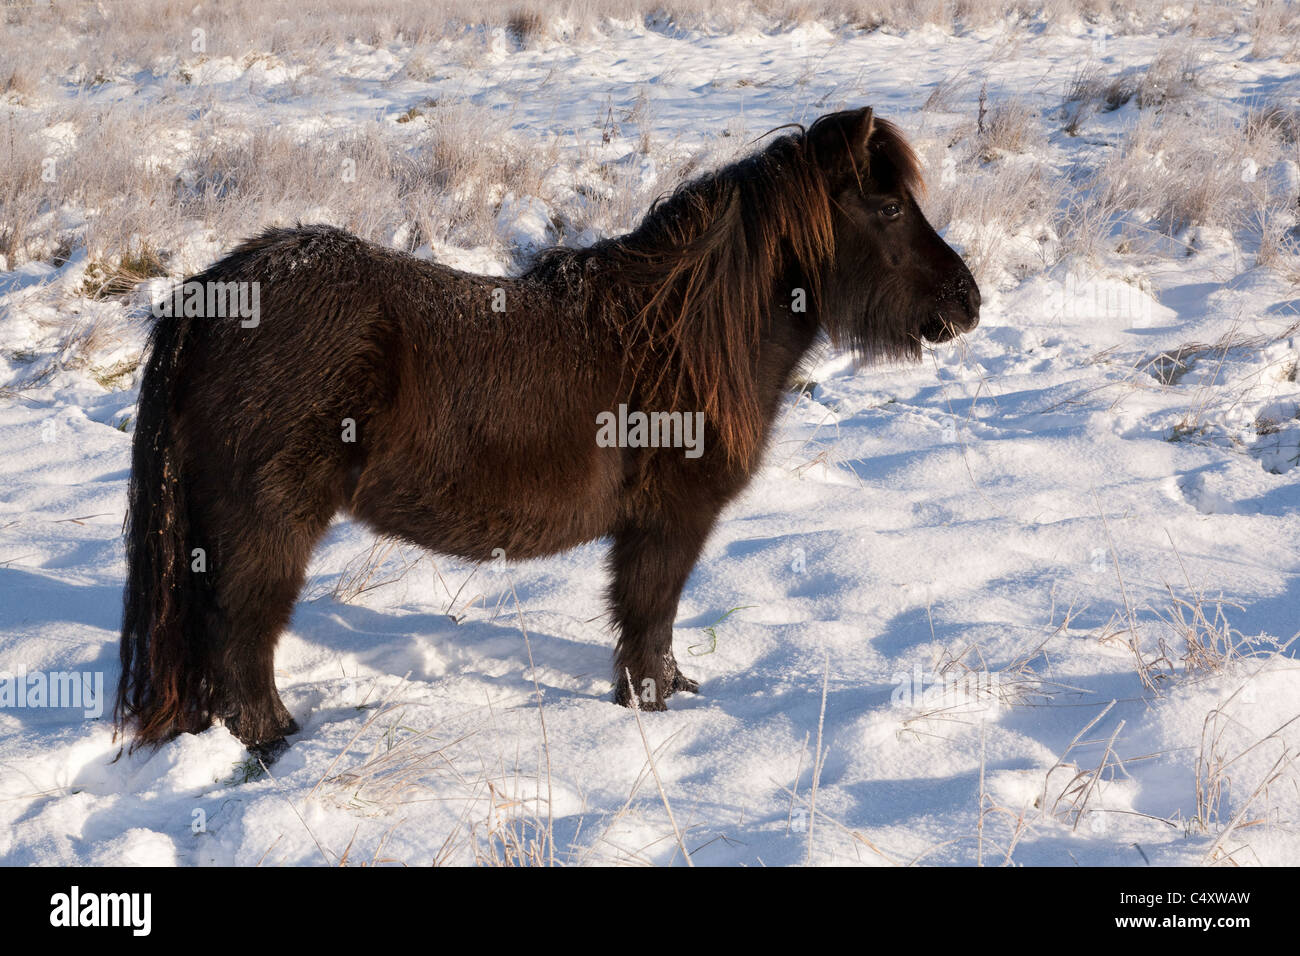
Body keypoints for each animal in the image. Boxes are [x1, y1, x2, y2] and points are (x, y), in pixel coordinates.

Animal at [116, 108, 977, 759]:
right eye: (890, 208)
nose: (967, 302)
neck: (679, 335)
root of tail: (208, 297)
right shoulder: (669, 525)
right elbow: (649, 621)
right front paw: (652, 710)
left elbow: (653, 629)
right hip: (268, 531)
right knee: (242, 648)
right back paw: (280, 743)